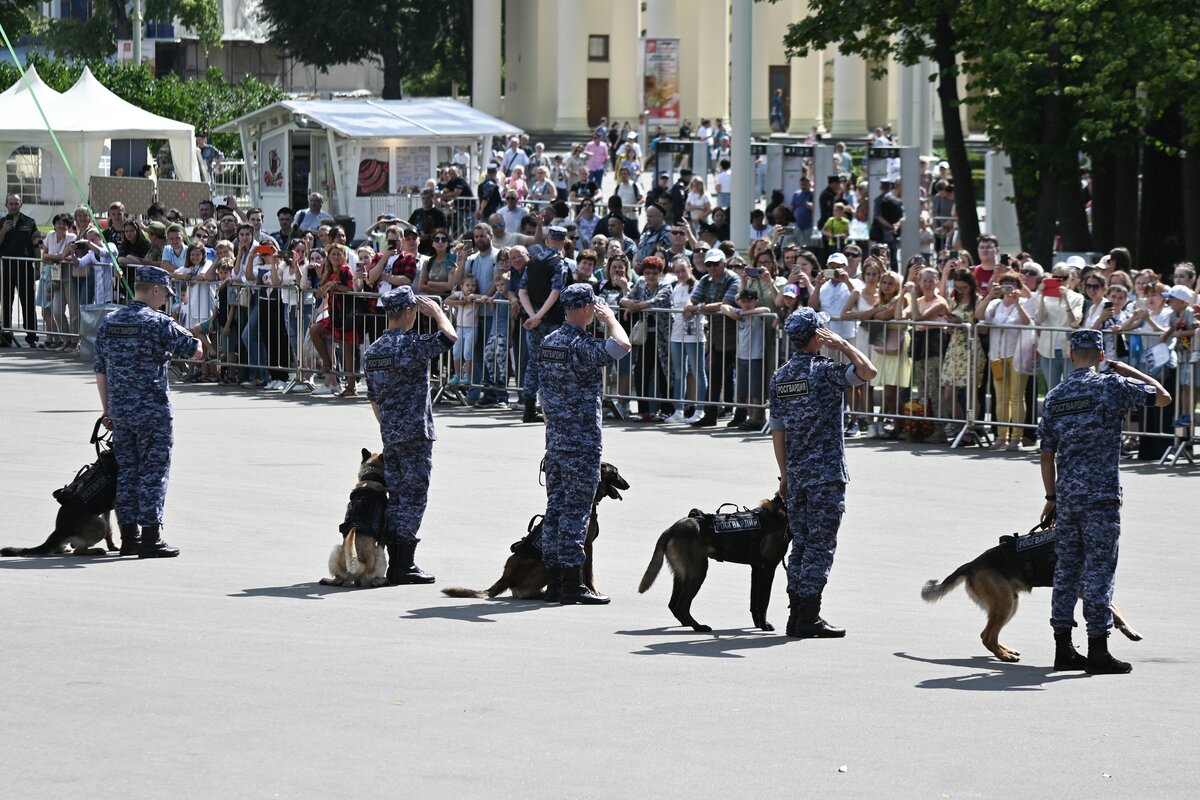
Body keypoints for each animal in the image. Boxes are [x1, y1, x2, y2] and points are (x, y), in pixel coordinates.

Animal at [319, 450, 388, 587]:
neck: (371, 477)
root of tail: (360, 565)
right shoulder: (383, 533)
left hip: (336, 550)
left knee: (338, 580)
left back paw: (328, 580)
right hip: (380, 554)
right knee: (373, 581)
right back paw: (382, 580)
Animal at [439, 462, 628, 599]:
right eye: (616, 473)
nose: (629, 485)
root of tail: (506, 577)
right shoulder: (586, 546)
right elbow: (589, 573)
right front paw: (593, 592)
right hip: (541, 564)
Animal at [633, 494, 792, 633]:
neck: (780, 513)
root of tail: (672, 529)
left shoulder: (756, 568)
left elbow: (754, 602)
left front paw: (758, 624)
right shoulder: (768, 568)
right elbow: (764, 601)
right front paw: (764, 626)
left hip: (681, 575)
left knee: (673, 605)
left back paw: (688, 623)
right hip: (698, 572)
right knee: (681, 606)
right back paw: (698, 627)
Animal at [916, 527, 1142, 666]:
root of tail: (971, 565)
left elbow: (1113, 608)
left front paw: (1127, 629)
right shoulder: (1084, 589)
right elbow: (1112, 608)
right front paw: (1126, 629)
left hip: (1010, 602)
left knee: (987, 635)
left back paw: (1006, 651)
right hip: (1006, 603)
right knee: (987, 636)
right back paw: (1004, 656)